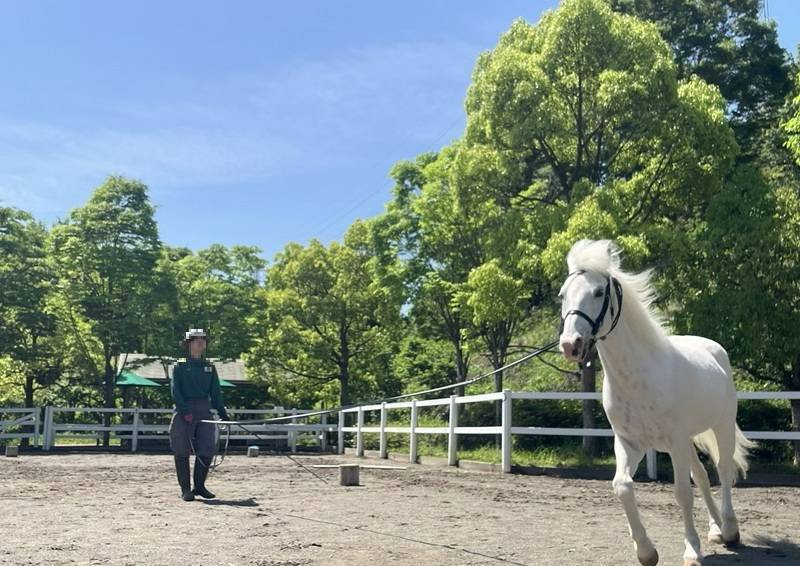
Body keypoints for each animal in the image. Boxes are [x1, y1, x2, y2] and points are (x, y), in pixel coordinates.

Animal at [557, 239, 755, 566]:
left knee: (723, 470)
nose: (570, 345)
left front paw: (691, 550)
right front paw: (646, 551)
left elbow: (682, 493)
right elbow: (622, 487)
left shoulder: (674, 442)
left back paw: (729, 530)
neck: (638, 377)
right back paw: (715, 529)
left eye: (598, 292)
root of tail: (714, 349)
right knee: (702, 476)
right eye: (563, 294)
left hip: (721, 426)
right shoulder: (630, 443)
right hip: (688, 440)